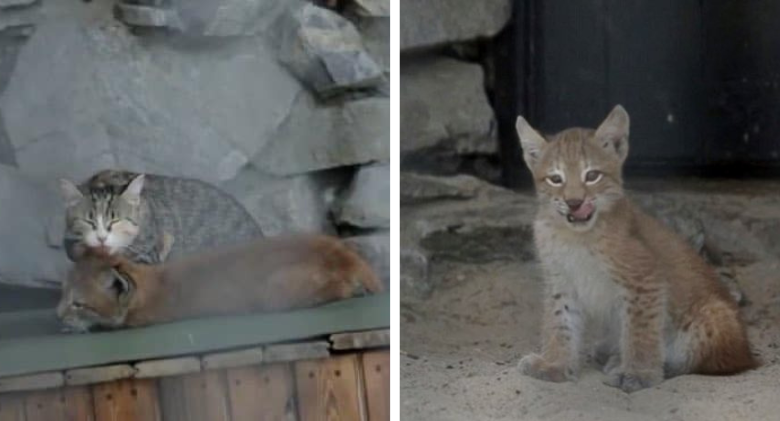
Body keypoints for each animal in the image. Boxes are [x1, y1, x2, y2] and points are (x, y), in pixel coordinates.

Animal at [516, 104, 756, 390]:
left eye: (592, 176)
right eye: (555, 179)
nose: (574, 203)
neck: (575, 235)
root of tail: (748, 349)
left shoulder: (645, 279)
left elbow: (640, 330)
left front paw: (638, 373)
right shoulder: (560, 280)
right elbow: (559, 323)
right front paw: (555, 365)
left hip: (714, 316)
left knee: (717, 362)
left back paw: (641, 362)